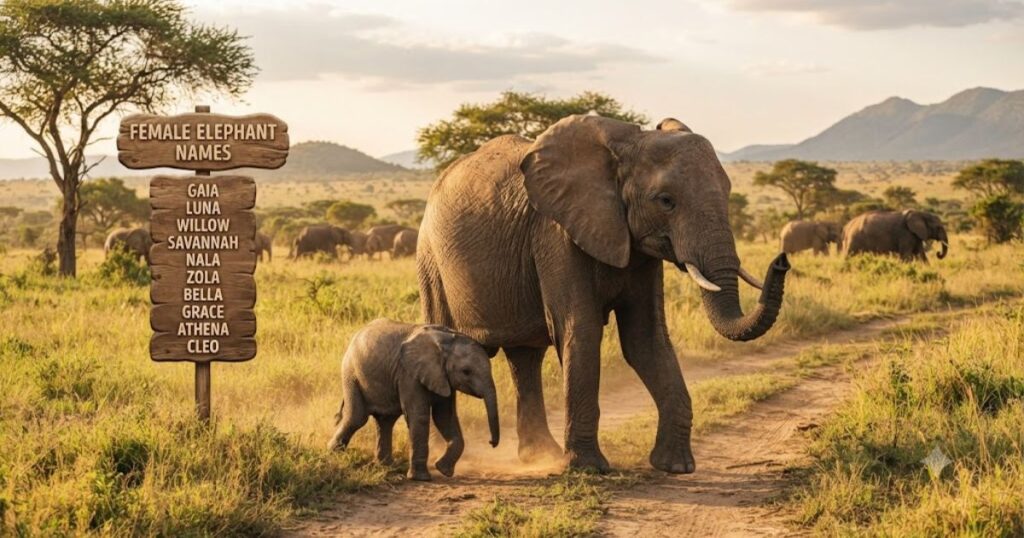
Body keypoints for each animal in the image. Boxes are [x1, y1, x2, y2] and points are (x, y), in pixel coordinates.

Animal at [328, 319, 500, 481]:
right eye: (466, 372)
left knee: (385, 421)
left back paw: (385, 467)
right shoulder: (409, 375)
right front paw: (421, 478)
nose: (491, 443)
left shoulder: (443, 377)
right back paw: (332, 453)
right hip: (351, 374)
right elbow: (419, 416)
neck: (447, 341)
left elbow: (445, 417)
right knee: (357, 418)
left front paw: (443, 470)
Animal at [417, 115, 790, 474]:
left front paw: (675, 467)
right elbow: (580, 330)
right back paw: (441, 459)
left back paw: (540, 456)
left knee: (525, 357)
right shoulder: (556, 234)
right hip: (431, 260)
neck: (627, 145)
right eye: (666, 201)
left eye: (728, 192)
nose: (782, 260)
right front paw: (588, 468)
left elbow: (646, 338)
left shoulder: (637, 248)